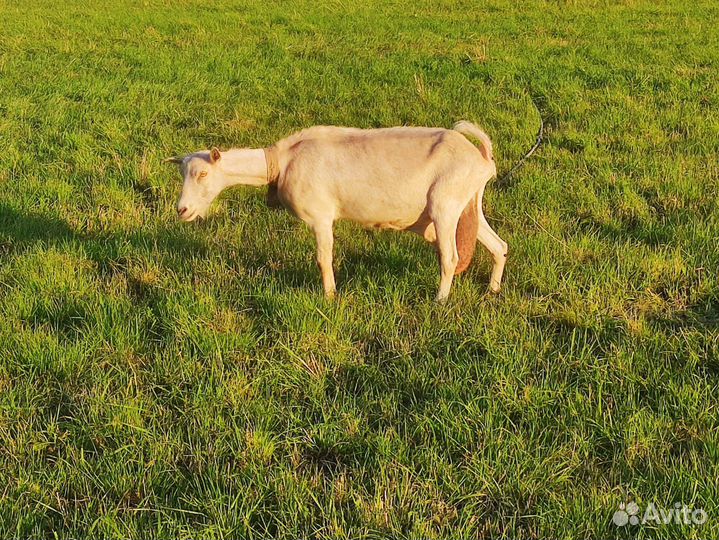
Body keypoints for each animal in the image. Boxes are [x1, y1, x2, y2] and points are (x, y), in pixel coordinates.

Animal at [166, 122, 507, 302]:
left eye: (203, 174)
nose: (182, 210)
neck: (283, 162)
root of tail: (480, 157)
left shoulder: (320, 216)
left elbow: (323, 257)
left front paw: (329, 296)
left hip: (445, 205)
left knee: (450, 258)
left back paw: (440, 301)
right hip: (468, 203)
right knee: (499, 246)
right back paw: (493, 289)